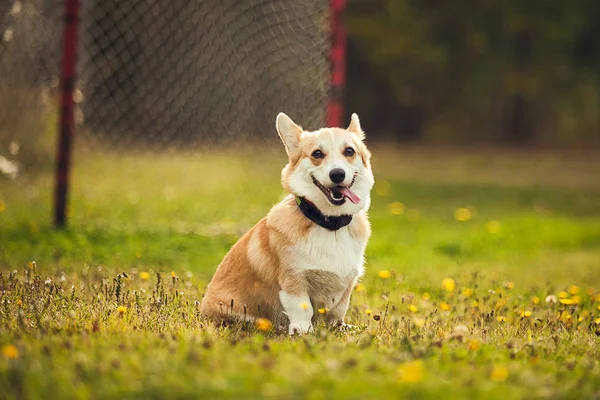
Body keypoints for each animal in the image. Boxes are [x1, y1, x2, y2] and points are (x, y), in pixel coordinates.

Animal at [199, 112, 372, 334]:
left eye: (349, 151)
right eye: (317, 154)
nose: (337, 174)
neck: (329, 224)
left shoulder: (345, 286)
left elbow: (337, 312)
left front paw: (339, 328)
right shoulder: (294, 280)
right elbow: (303, 309)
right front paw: (304, 333)